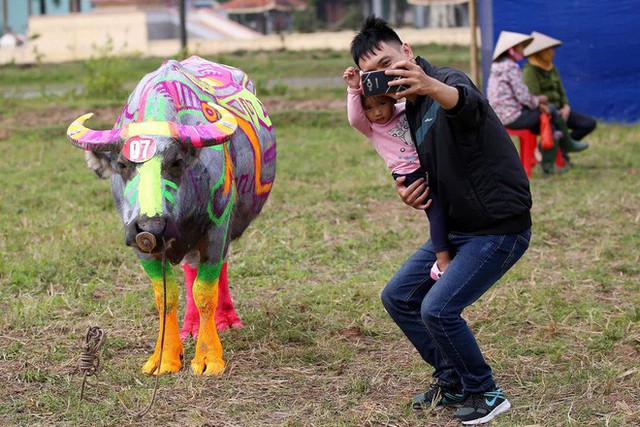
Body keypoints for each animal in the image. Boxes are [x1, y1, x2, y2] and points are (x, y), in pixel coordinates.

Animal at [66, 56, 276, 374]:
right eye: (123, 164)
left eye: (176, 162)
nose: (151, 227)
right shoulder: (139, 244)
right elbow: (165, 296)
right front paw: (165, 355)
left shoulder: (217, 229)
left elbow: (205, 292)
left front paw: (209, 357)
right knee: (190, 268)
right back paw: (190, 326)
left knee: (219, 269)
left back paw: (227, 320)